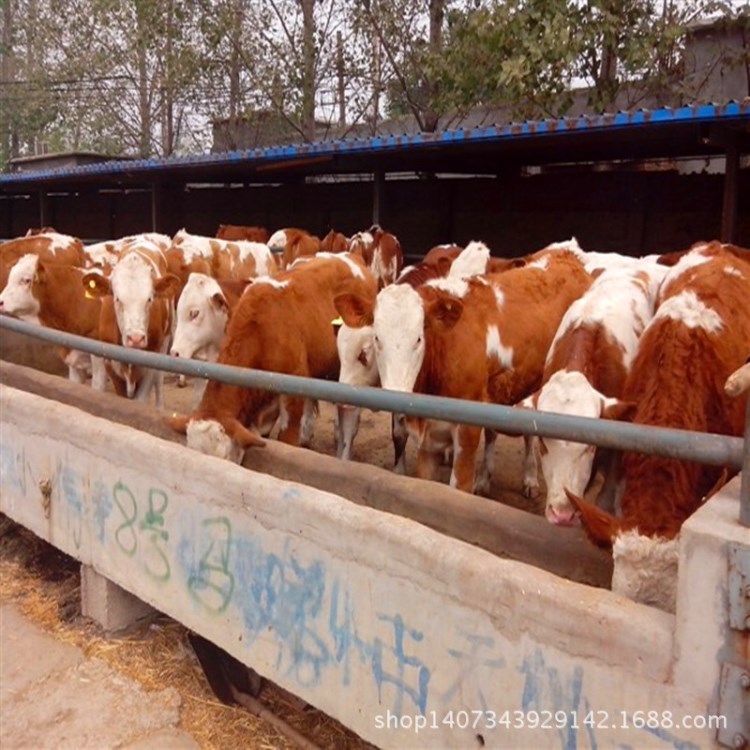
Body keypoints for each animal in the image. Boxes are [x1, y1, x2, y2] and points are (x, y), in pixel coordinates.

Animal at [165, 256, 376, 462]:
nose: (174, 353)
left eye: (194, 313)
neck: (260, 332)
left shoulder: (293, 395)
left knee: (347, 427)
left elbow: (287, 440)